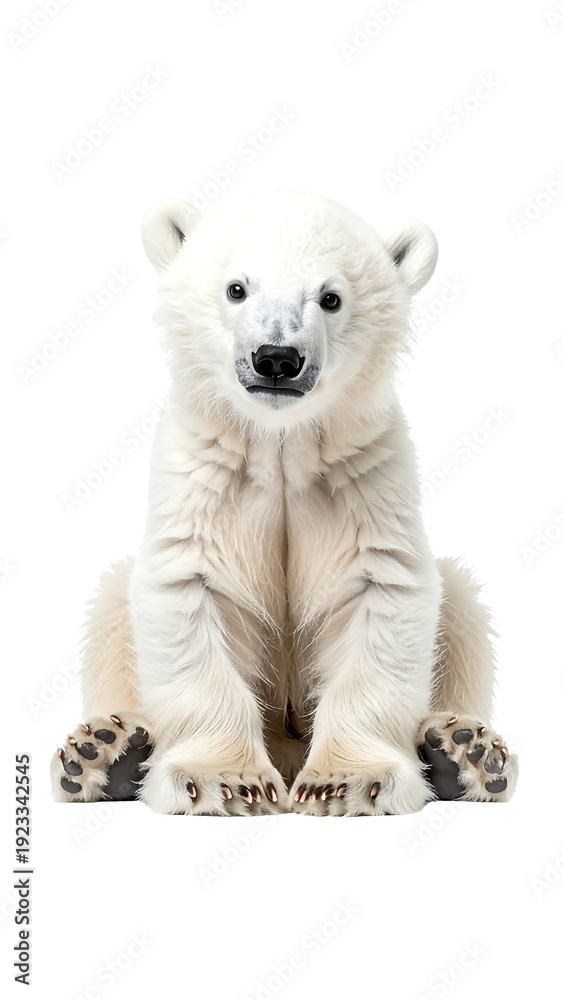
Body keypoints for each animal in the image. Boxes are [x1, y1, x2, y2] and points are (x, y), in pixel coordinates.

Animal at [51, 189, 517, 815]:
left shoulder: (364, 477)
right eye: (236, 288)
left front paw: (346, 781)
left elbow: (382, 592)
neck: (280, 443)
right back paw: (107, 750)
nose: (276, 357)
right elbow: (189, 593)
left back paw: (462, 750)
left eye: (330, 297)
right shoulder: (205, 475)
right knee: (109, 608)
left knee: (462, 605)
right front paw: (228, 781)